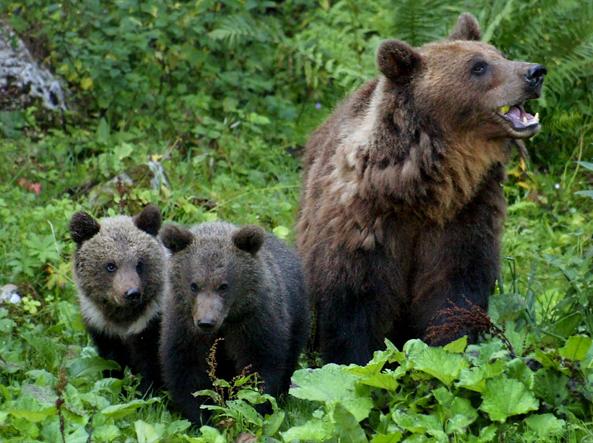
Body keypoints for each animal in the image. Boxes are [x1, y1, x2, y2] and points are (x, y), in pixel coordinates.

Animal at [296, 13, 544, 364]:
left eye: (500, 54)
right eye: (478, 66)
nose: (534, 72)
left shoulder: (465, 217)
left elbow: (453, 292)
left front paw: (449, 349)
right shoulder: (364, 223)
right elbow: (353, 301)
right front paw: (353, 358)